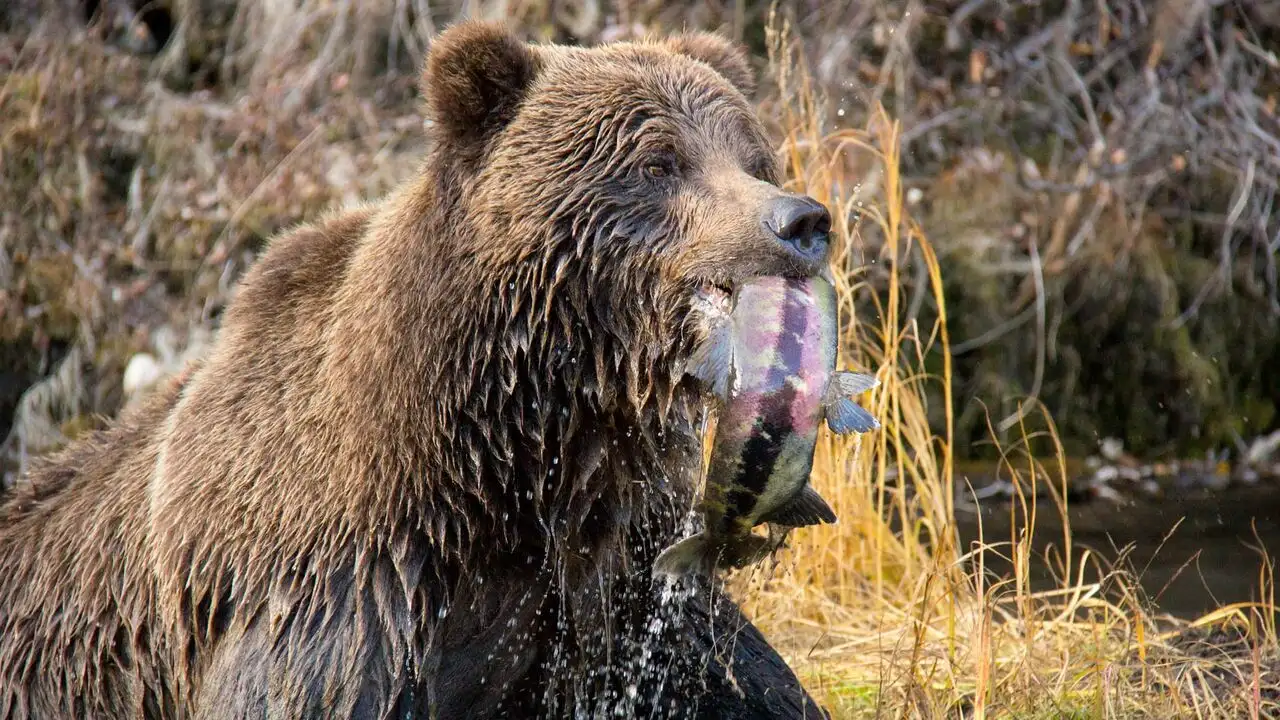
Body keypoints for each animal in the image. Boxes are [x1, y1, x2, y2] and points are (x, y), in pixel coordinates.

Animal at [0, 21, 836, 719]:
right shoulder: (342, 597)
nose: (800, 221)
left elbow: (745, 680)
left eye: (752, 156)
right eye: (660, 160)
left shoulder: (619, 583)